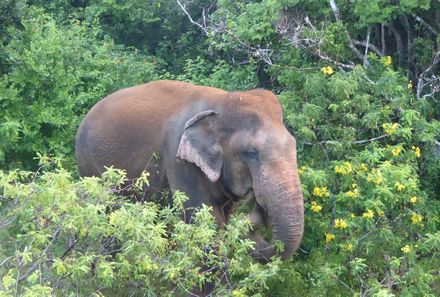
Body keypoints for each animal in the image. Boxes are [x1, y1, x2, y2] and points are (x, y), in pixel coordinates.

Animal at [75, 79, 302, 262]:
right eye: (251, 152)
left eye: (294, 145)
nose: (258, 204)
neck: (221, 101)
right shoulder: (179, 162)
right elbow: (208, 224)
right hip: (88, 165)